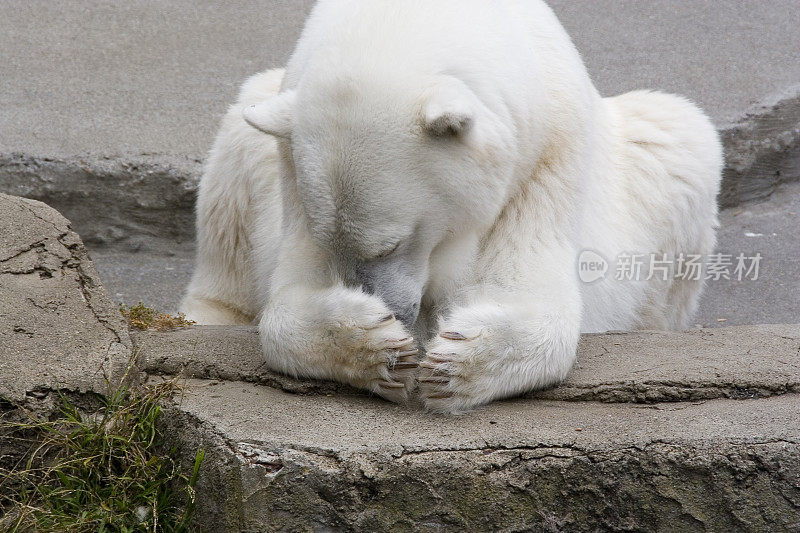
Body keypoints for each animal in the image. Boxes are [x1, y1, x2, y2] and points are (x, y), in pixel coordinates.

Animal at [183, 0, 724, 412]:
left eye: (391, 244)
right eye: (331, 240)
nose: (396, 316)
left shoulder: (545, 159)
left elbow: (530, 293)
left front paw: (454, 363)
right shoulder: (291, 177)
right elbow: (289, 298)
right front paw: (380, 346)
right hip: (251, 141)